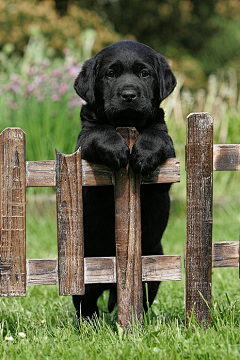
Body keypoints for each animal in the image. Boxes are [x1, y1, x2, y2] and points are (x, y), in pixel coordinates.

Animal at [72, 40, 175, 318]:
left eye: (144, 73)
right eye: (110, 74)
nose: (129, 94)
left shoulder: (167, 161)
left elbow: (156, 135)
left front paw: (143, 154)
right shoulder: (84, 141)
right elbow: (99, 131)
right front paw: (117, 149)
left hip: (154, 266)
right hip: (84, 272)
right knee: (85, 303)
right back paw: (90, 322)